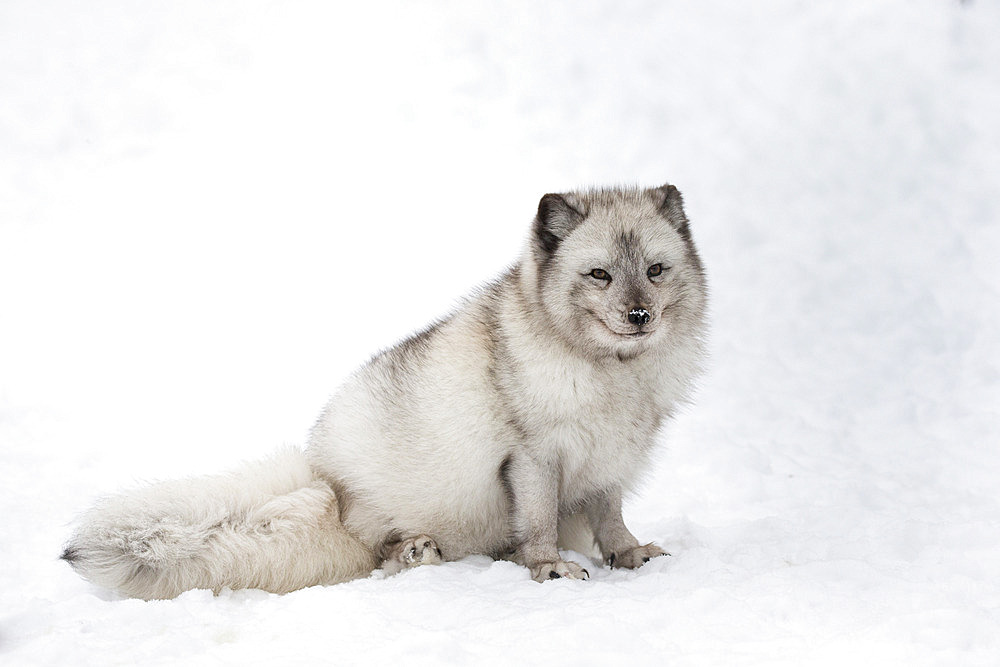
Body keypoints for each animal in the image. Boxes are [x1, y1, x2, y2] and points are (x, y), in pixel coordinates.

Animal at [62, 184, 708, 600]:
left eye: (655, 270)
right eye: (599, 274)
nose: (640, 315)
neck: (614, 376)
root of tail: (330, 485)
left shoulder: (609, 460)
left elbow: (609, 518)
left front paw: (628, 554)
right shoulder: (532, 456)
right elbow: (540, 523)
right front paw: (549, 568)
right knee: (378, 558)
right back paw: (415, 553)